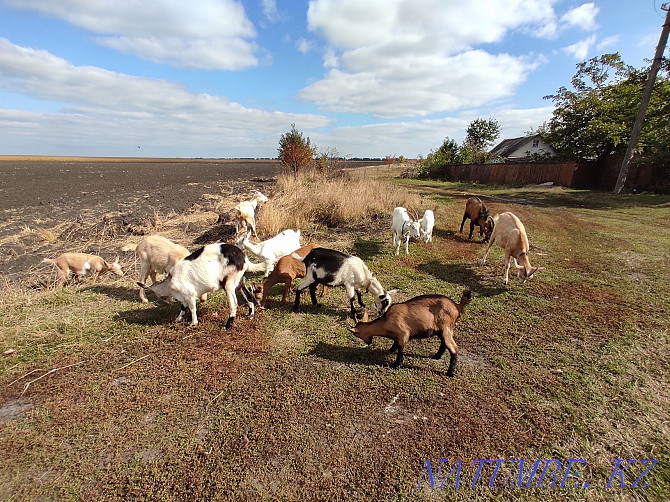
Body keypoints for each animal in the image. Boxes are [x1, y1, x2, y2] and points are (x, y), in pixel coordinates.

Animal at [138, 241, 266, 328]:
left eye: (161, 296)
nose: (168, 301)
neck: (170, 282)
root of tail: (244, 259)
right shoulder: (185, 296)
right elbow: (183, 307)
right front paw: (178, 319)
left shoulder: (189, 293)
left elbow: (192, 308)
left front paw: (193, 323)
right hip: (239, 281)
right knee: (248, 296)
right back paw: (250, 315)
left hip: (229, 283)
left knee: (234, 304)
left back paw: (227, 325)